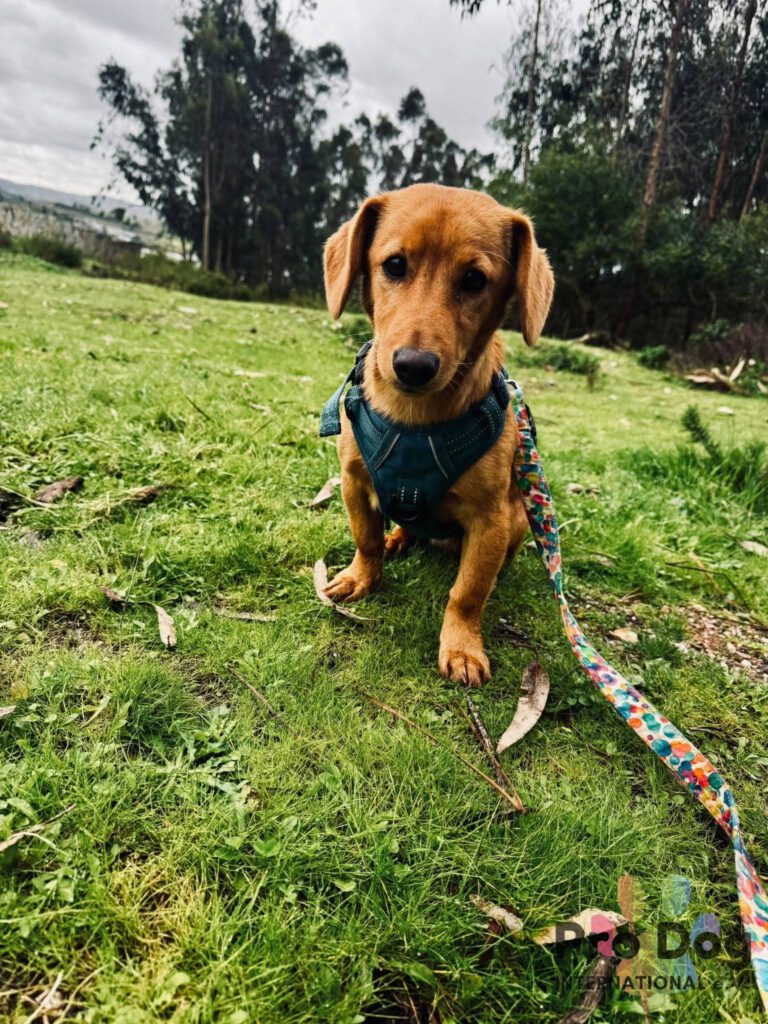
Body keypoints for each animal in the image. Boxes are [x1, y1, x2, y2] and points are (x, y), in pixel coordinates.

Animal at [321, 183, 554, 686]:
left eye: (474, 279)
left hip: (518, 520)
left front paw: (462, 646)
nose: (413, 365)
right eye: (394, 265)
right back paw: (398, 539)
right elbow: (365, 539)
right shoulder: (353, 482)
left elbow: (467, 592)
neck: (414, 421)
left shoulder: (489, 522)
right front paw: (361, 576)